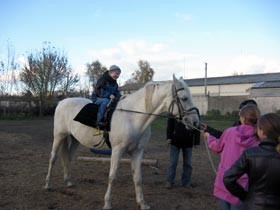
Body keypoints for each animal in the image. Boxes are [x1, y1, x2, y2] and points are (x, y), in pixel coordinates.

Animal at [44, 74, 199, 209]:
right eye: (184, 98)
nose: (195, 122)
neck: (132, 117)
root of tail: (61, 102)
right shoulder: (117, 151)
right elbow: (112, 176)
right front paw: (107, 204)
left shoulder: (137, 152)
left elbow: (138, 178)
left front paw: (142, 203)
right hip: (59, 136)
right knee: (52, 158)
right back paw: (47, 185)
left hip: (74, 139)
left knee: (68, 158)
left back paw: (68, 181)